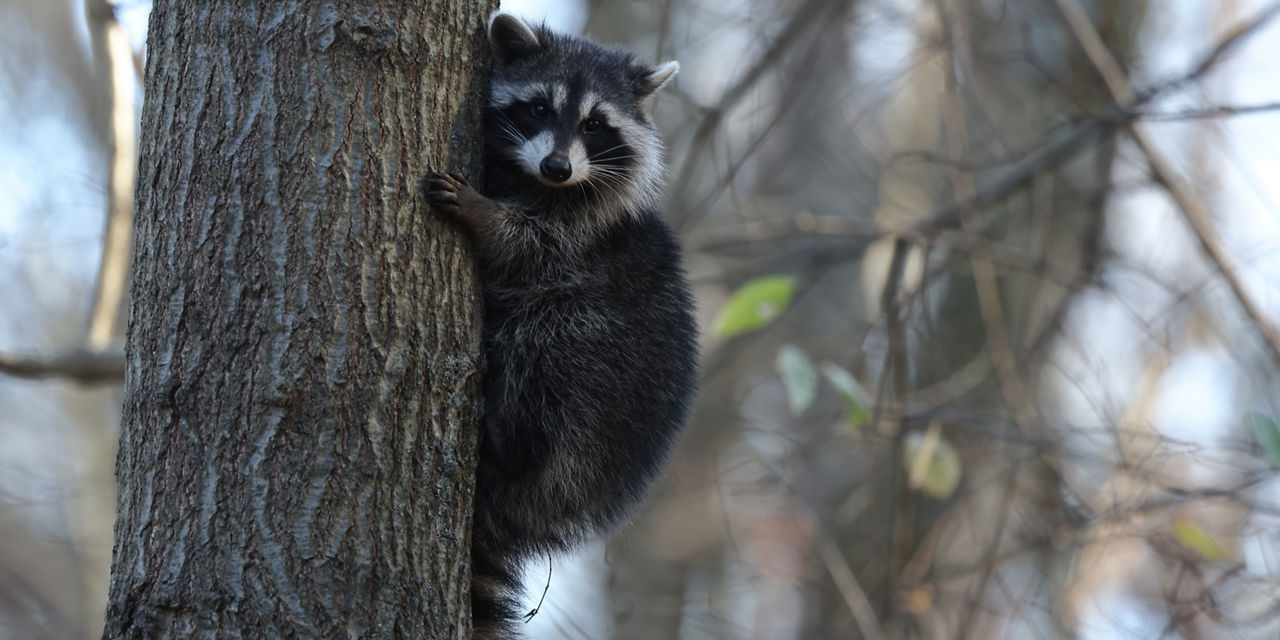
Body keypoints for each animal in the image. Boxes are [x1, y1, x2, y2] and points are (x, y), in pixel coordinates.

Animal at [424, 11, 696, 640]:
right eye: (539, 108)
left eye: (595, 125)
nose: (557, 166)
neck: (532, 181)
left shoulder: (584, 233)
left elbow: (530, 248)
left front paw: (486, 217)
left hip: (602, 383)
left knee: (551, 343)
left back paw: (515, 433)